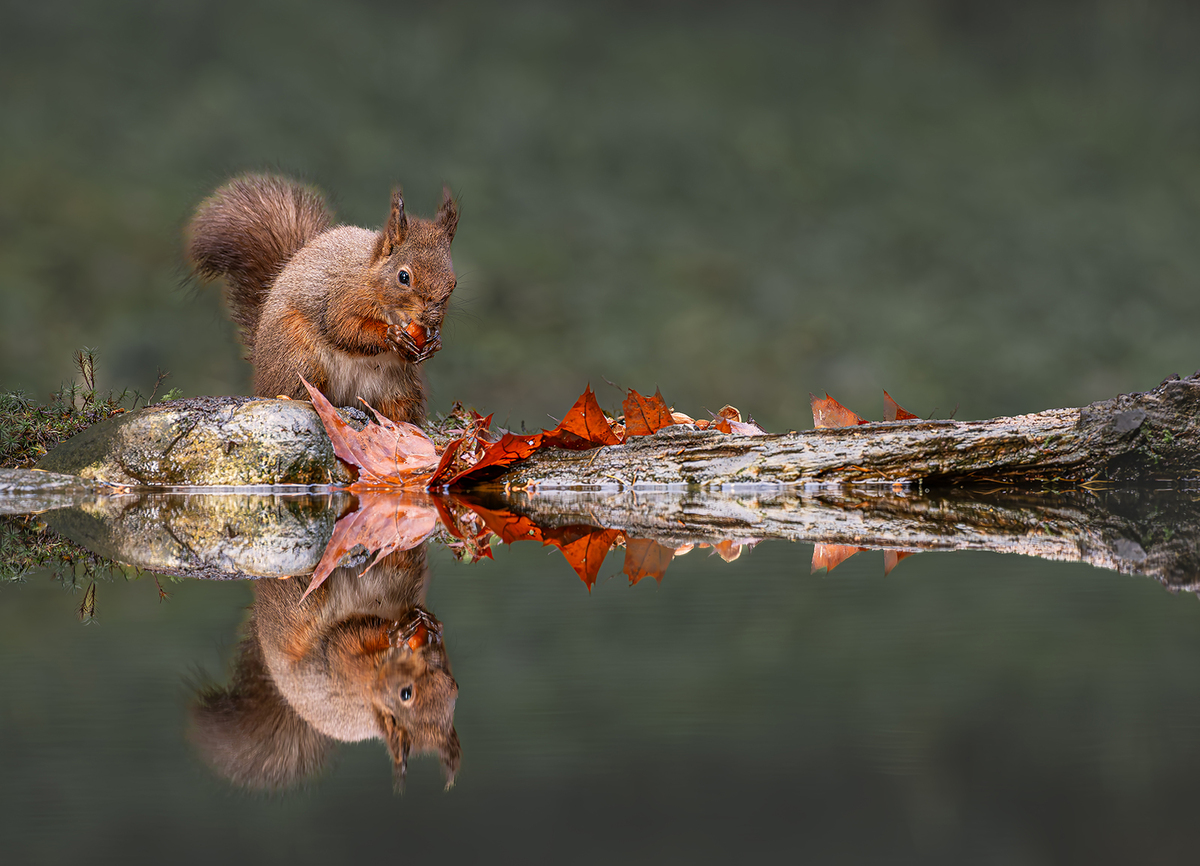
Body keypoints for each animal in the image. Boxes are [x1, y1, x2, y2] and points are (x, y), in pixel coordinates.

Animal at [187, 174, 459, 426]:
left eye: (453, 284)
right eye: (404, 277)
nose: (431, 318)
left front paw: (435, 342)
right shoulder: (341, 298)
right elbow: (345, 329)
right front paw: (391, 336)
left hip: (399, 390)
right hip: (298, 359)